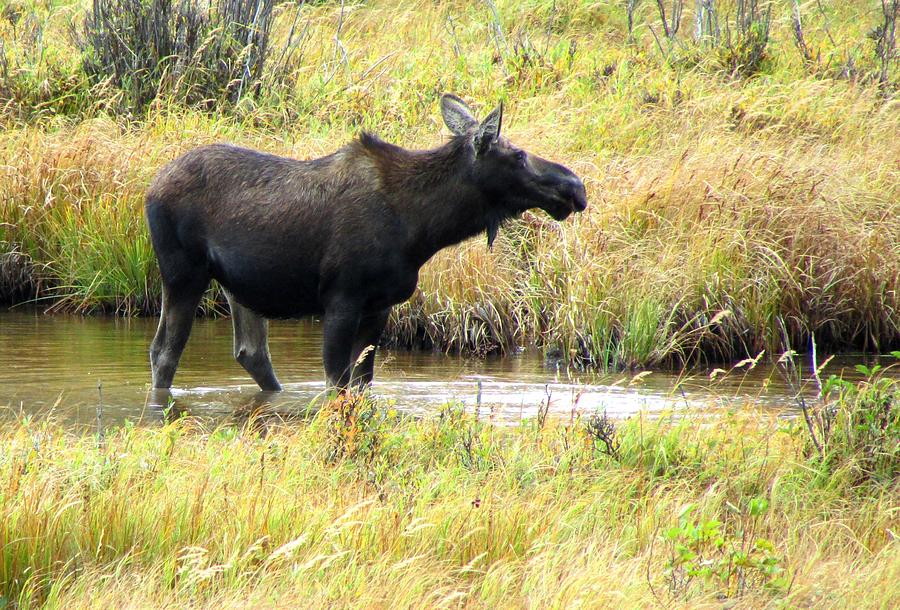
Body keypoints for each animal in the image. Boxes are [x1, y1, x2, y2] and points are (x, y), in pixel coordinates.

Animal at [144, 93, 588, 392]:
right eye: (518, 155)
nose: (574, 186)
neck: (423, 229)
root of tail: (150, 188)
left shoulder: (380, 304)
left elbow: (361, 383)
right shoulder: (342, 298)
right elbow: (337, 383)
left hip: (239, 286)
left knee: (251, 353)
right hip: (183, 273)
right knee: (164, 351)